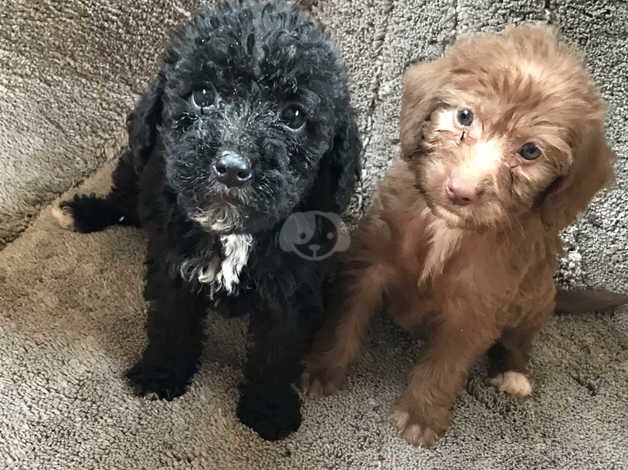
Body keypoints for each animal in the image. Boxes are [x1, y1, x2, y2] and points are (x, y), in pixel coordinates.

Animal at [56, 0, 360, 440]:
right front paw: (161, 373)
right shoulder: (174, 263)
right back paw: (81, 213)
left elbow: (278, 347)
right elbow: (171, 321)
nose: (232, 168)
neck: (234, 230)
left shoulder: (291, 285)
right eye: (203, 95)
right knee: (124, 199)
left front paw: (268, 409)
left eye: (294, 115)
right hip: (140, 165)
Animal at [306, 24, 620, 448]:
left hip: (535, 298)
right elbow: (344, 320)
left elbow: (446, 364)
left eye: (530, 151)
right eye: (464, 116)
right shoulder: (370, 261)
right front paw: (321, 369)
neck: (447, 227)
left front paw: (421, 414)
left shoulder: (477, 306)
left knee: (519, 340)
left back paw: (512, 373)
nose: (461, 191)